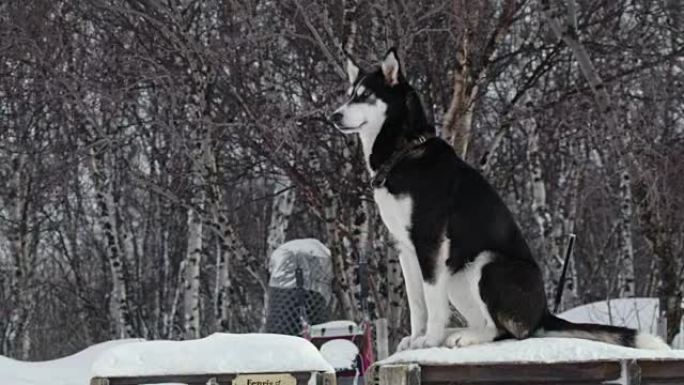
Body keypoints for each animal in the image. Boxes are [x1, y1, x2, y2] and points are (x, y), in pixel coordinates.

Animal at [328, 48, 672, 352]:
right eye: (349, 94)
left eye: (364, 95)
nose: (334, 115)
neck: (405, 151)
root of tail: (543, 312)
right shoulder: (406, 249)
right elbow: (417, 304)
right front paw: (417, 338)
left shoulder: (429, 243)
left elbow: (432, 303)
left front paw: (429, 339)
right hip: (459, 274)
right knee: (489, 323)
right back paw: (459, 333)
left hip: (487, 264)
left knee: (506, 330)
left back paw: (462, 337)